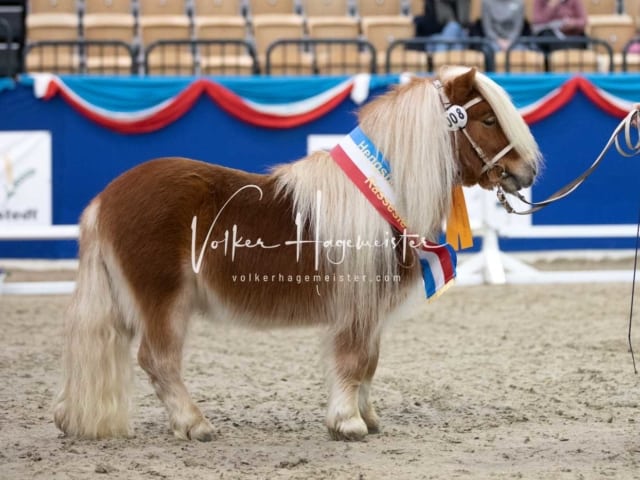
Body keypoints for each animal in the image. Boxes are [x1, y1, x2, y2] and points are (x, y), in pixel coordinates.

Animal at [53, 67, 540, 442]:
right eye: (488, 120)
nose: (526, 173)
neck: (382, 194)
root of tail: (107, 198)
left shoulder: (370, 309)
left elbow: (370, 361)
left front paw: (367, 417)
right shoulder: (356, 307)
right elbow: (354, 359)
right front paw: (348, 423)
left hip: (122, 302)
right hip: (163, 300)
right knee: (159, 360)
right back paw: (195, 425)